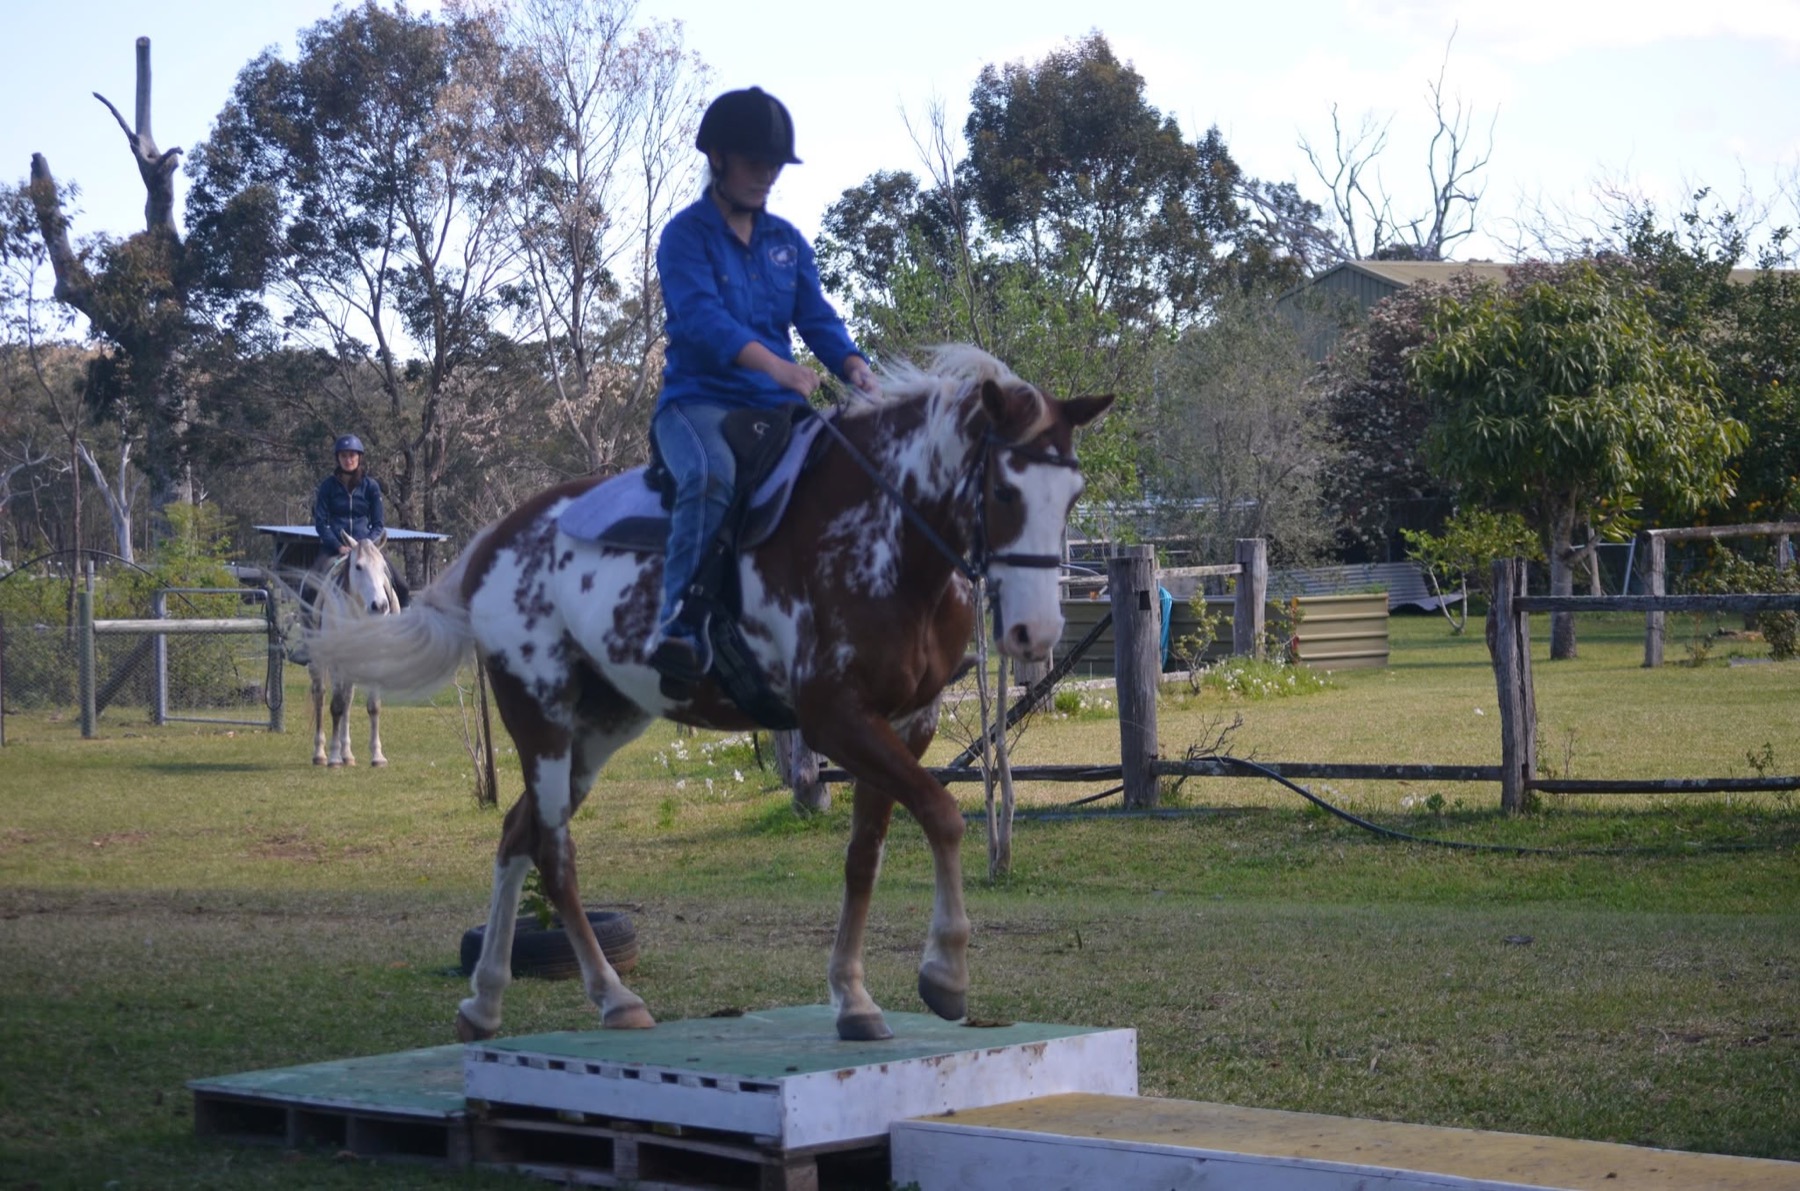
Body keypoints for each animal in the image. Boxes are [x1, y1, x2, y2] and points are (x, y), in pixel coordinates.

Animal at [306, 533, 403, 767]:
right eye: (358, 567)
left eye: (383, 567)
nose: (380, 606)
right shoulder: (336, 662)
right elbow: (336, 706)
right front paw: (333, 757)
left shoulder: (377, 660)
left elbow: (373, 706)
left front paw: (377, 756)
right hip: (319, 661)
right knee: (320, 696)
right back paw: (320, 753)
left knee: (348, 699)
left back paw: (347, 754)